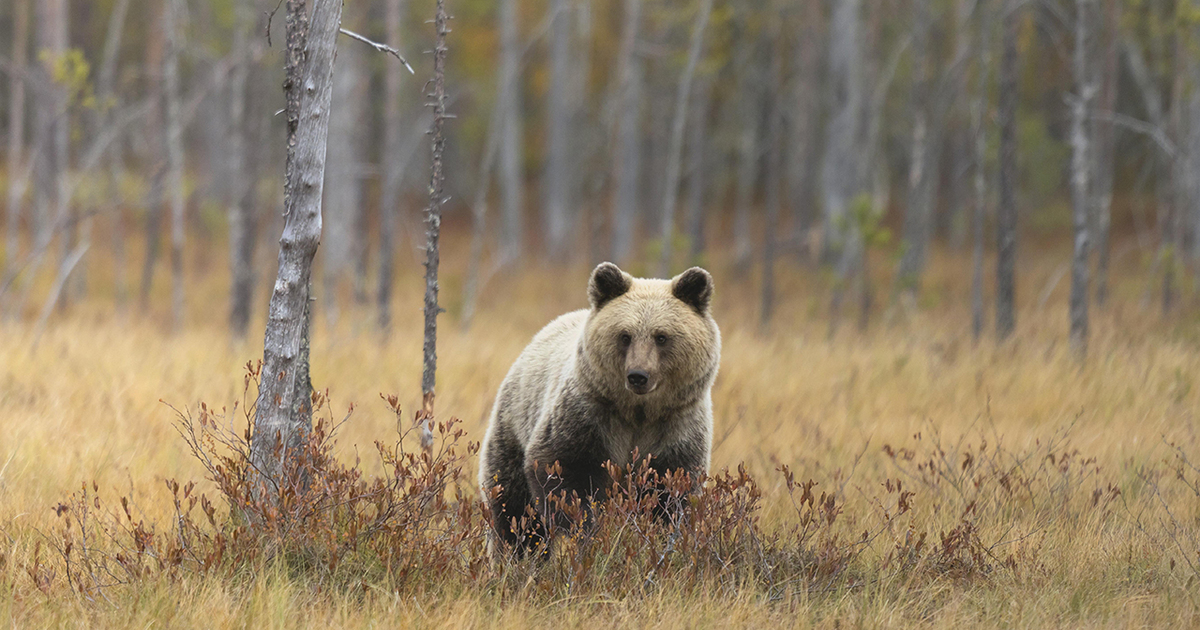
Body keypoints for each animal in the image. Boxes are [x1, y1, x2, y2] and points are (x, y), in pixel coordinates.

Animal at [477, 260, 720, 554]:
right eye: (625, 335)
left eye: (661, 336)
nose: (638, 375)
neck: (639, 412)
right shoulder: (589, 415)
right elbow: (563, 473)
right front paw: (589, 531)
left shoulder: (677, 426)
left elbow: (672, 490)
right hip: (513, 426)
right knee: (513, 510)